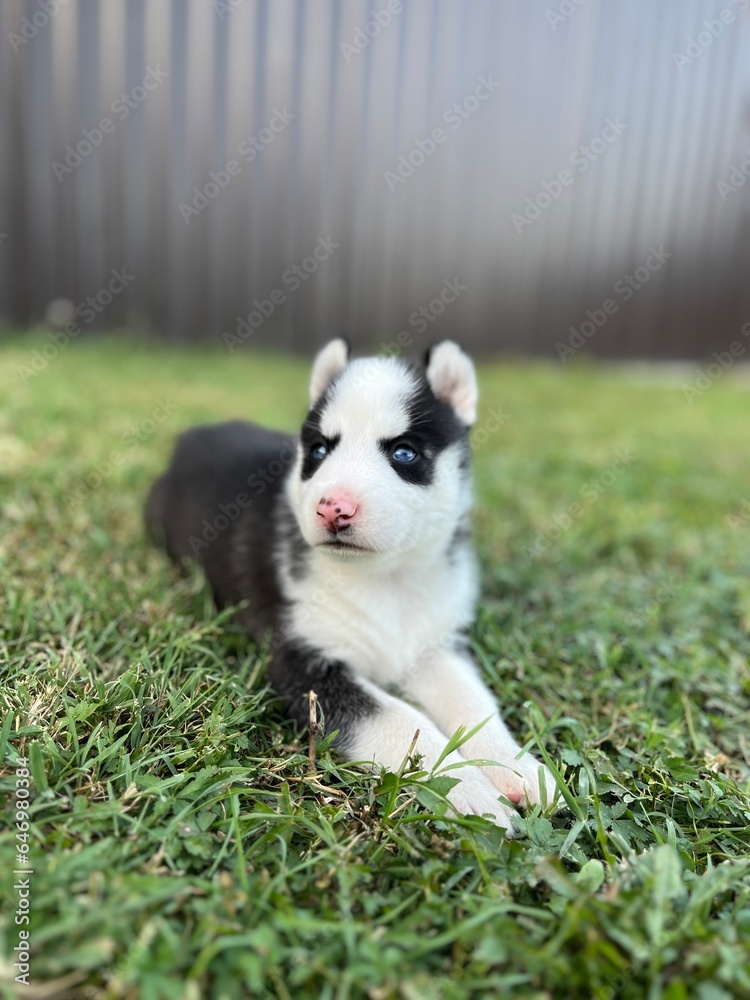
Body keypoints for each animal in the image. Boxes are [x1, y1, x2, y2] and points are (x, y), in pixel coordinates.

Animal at [147, 340, 560, 832]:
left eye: (404, 453)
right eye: (320, 450)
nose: (333, 508)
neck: (385, 579)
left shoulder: (435, 647)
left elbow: (475, 704)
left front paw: (516, 766)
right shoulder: (303, 663)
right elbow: (401, 720)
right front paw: (468, 790)